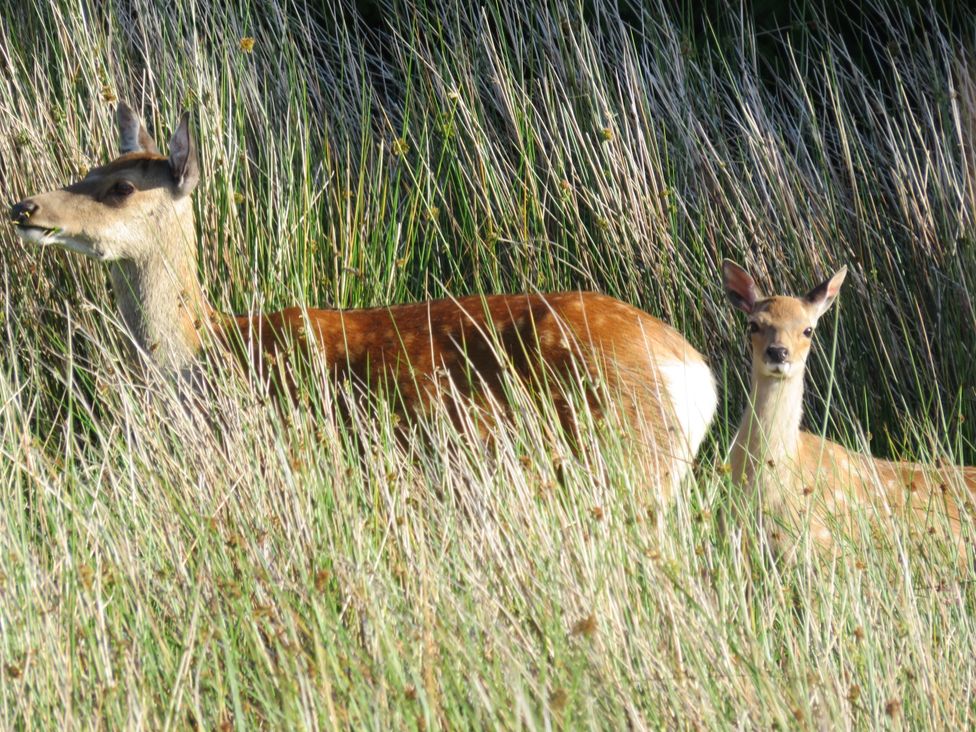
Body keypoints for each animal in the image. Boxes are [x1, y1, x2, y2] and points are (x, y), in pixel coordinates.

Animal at [5, 103, 716, 500]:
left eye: (122, 187)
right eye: (89, 168)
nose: (25, 207)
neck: (205, 351)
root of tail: (696, 375)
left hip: (632, 463)